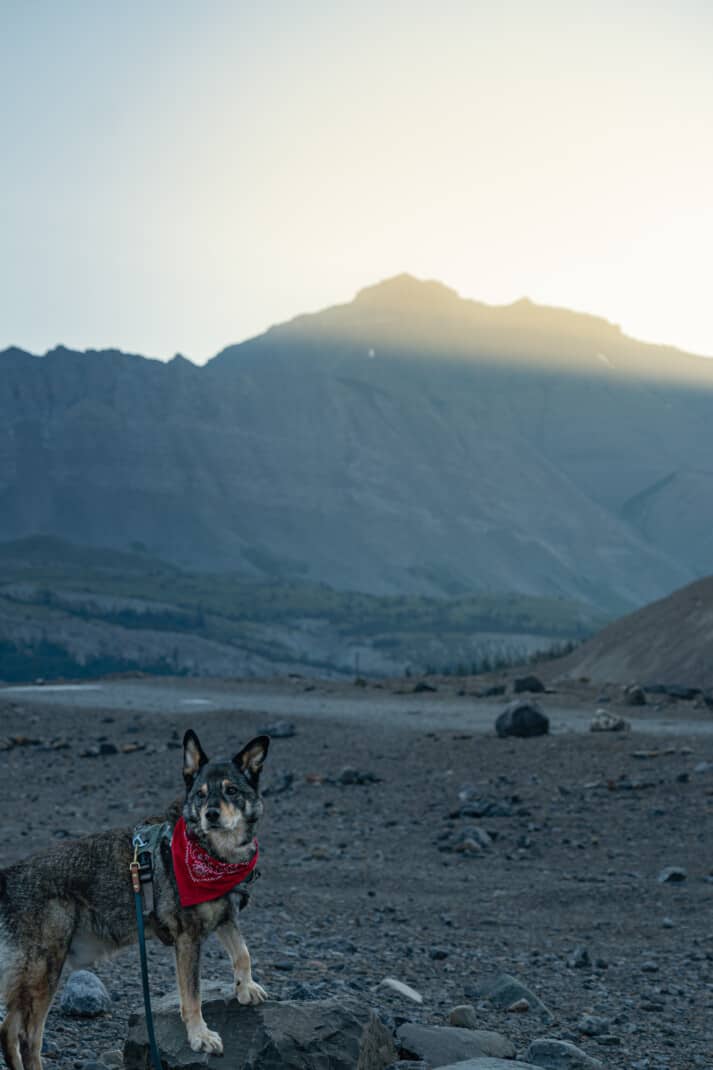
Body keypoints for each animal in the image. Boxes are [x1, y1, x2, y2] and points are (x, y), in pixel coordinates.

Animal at [0, 731, 269, 1065]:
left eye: (231, 790)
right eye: (201, 794)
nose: (211, 814)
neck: (212, 853)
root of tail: (8, 876)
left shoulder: (225, 915)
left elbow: (243, 952)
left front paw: (246, 987)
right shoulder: (188, 938)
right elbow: (192, 995)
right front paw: (200, 1036)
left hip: (30, 975)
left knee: (8, 1029)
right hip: (44, 970)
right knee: (28, 1037)